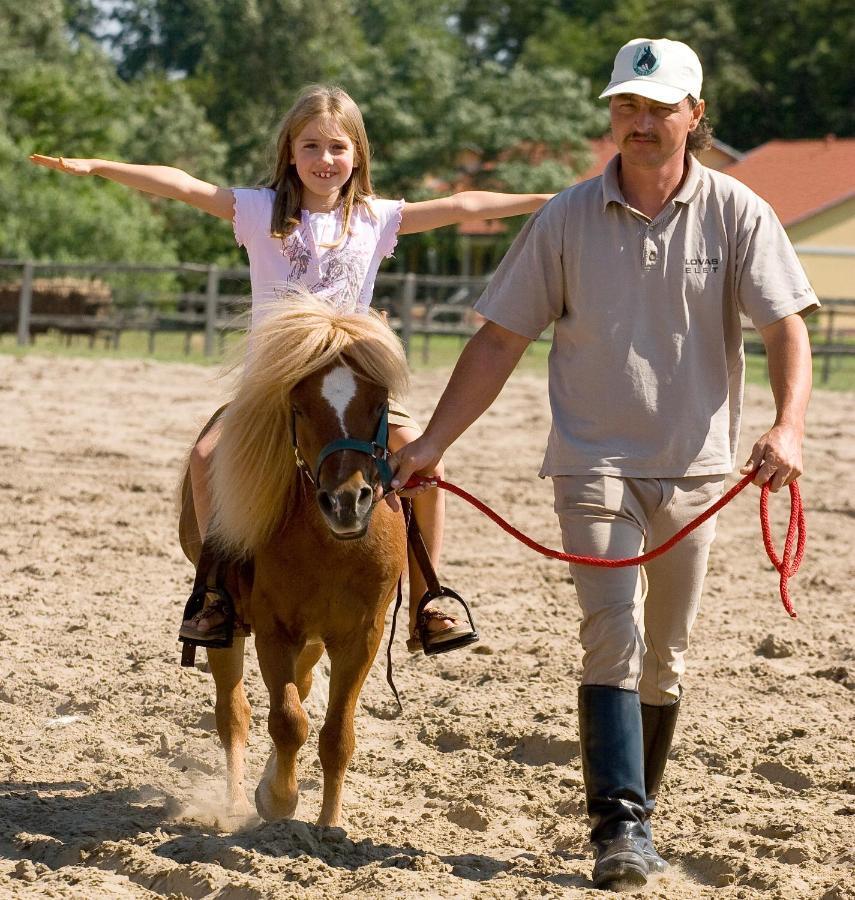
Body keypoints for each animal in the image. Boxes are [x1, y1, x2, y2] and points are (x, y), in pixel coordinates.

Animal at [177, 294, 408, 824]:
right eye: (300, 407)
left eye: (379, 404)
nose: (347, 502)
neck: (331, 547)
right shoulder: (273, 629)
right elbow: (287, 720)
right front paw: (277, 799)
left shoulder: (360, 637)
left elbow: (336, 735)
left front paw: (329, 825)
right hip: (228, 630)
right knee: (234, 714)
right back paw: (237, 801)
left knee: (299, 689)